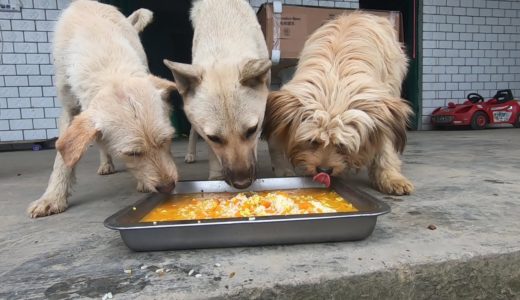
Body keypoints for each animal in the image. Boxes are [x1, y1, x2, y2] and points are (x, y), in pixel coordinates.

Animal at [28, 0, 179, 217]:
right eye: (132, 154)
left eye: (167, 140)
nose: (168, 187)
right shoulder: (69, 108)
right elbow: (61, 160)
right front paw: (52, 197)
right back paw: (106, 164)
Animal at [164, 0, 270, 188]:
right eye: (214, 138)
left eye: (251, 130)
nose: (242, 183)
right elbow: (212, 153)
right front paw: (215, 177)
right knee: (193, 130)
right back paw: (190, 154)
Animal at [264, 11, 414, 195]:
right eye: (312, 141)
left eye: (342, 145)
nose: (324, 170)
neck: (334, 82)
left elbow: (385, 144)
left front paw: (391, 178)